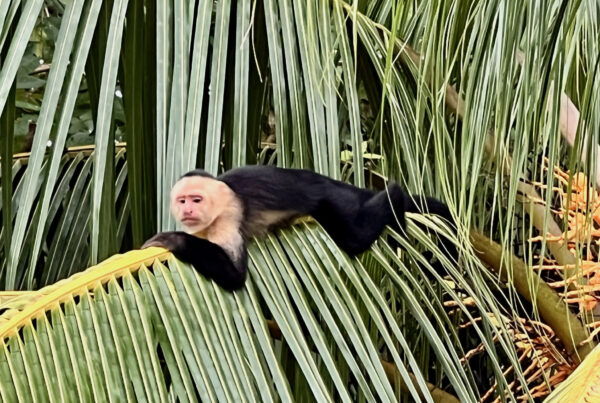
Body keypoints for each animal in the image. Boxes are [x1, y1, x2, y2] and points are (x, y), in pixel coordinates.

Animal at [144, 166, 454, 292]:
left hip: (334, 199)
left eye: (196, 200)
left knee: (354, 237)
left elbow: (235, 277)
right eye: (182, 200)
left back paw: (396, 196)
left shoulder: (228, 216)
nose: (188, 210)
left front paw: (173, 240)